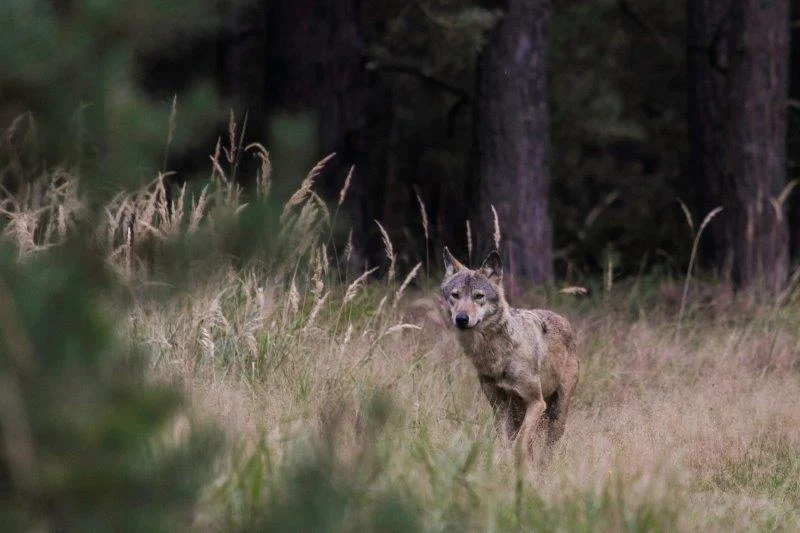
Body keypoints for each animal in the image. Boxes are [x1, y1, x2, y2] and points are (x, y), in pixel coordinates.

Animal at [440, 247, 579, 461]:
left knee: (547, 449)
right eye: (455, 295)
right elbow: (506, 446)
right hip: (517, 412)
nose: (461, 318)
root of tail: (562, 319)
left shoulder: (536, 403)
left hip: (557, 414)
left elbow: (520, 444)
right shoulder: (499, 406)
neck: (498, 357)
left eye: (478, 296)